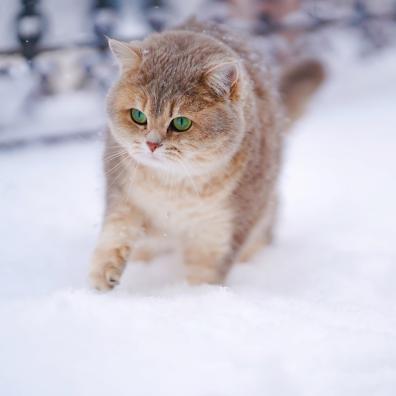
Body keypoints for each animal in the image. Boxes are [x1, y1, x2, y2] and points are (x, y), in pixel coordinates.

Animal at [89, 19, 324, 290]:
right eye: (138, 116)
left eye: (181, 123)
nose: (151, 144)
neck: (172, 185)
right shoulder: (123, 192)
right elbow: (116, 230)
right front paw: (103, 272)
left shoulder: (220, 230)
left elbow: (205, 275)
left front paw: (197, 297)